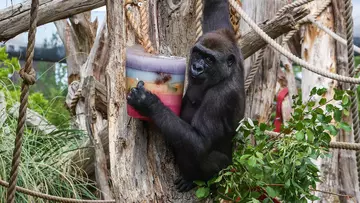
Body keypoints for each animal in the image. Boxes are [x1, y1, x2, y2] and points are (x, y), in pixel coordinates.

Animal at [126, 0, 245, 193]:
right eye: (198, 53)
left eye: (209, 60)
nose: (197, 67)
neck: (225, 74)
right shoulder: (227, 39)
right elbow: (216, 8)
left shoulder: (221, 97)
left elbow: (200, 142)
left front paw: (148, 103)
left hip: (225, 172)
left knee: (208, 157)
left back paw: (194, 179)